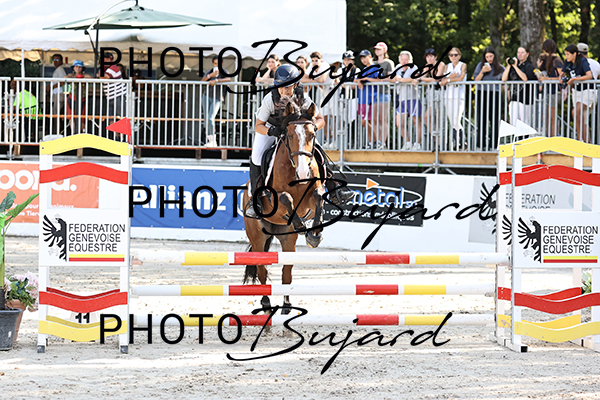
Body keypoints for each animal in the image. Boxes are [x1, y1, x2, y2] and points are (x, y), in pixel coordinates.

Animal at [242, 97, 326, 314]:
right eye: (288, 135)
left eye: (312, 134)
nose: (303, 173)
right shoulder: (275, 201)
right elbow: (286, 198)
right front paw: (299, 223)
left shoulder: (311, 199)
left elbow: (318, 195)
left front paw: (314, 234)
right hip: (257, 236)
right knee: (262, 271)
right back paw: (265, 303)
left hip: (287, 239)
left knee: (286, 272)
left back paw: (287, 305)